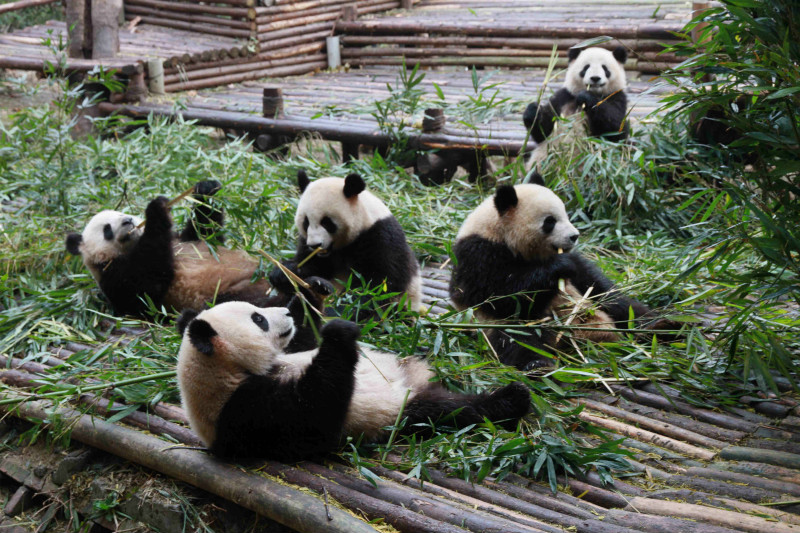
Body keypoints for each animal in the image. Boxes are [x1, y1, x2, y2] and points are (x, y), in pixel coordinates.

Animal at [65, 179, 332, 322]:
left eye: (123, 213)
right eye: (106, 229)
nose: (128, 221)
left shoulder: (185, 240)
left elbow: (204, 231)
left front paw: (206, 189)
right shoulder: (117, 277)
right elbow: (150, 281)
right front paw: (157, 209)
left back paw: (309, 282)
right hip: (229, 294)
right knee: (251, 304)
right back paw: (302, 299)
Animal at [175, 298, 532, 460]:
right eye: (258, 319)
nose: (287, 313)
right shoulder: (245, 412)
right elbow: (315, 413)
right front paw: (339, 333)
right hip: (400, 411)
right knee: (447, 410)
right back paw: (512, 398)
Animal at [268, 169, 422, 312]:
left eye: (326, 222)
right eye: (306, 222)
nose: (315, 245)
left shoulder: (381, 237)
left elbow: (376, 286)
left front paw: (338, 310)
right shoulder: (309, 246)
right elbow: (311, 265)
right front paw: (283, 272)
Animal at [450, 184, 656, 370]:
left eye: (566, 215)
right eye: (550, 221)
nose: (574, 236)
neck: (497, 231)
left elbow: (595, 283)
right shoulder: (478, 254)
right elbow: (500, 295)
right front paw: (558, 267)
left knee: (625, 308)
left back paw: (656, 325)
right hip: (498, 325)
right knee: (518, 340)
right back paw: (539, 366)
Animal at [524, 45, 632, 175]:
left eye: (605, 68)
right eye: (586, 67)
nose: (595, 78)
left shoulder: (617, 97)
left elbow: (616, 129)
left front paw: (586, 97)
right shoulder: (564, 98)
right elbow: (544, 131)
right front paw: (533, 111)